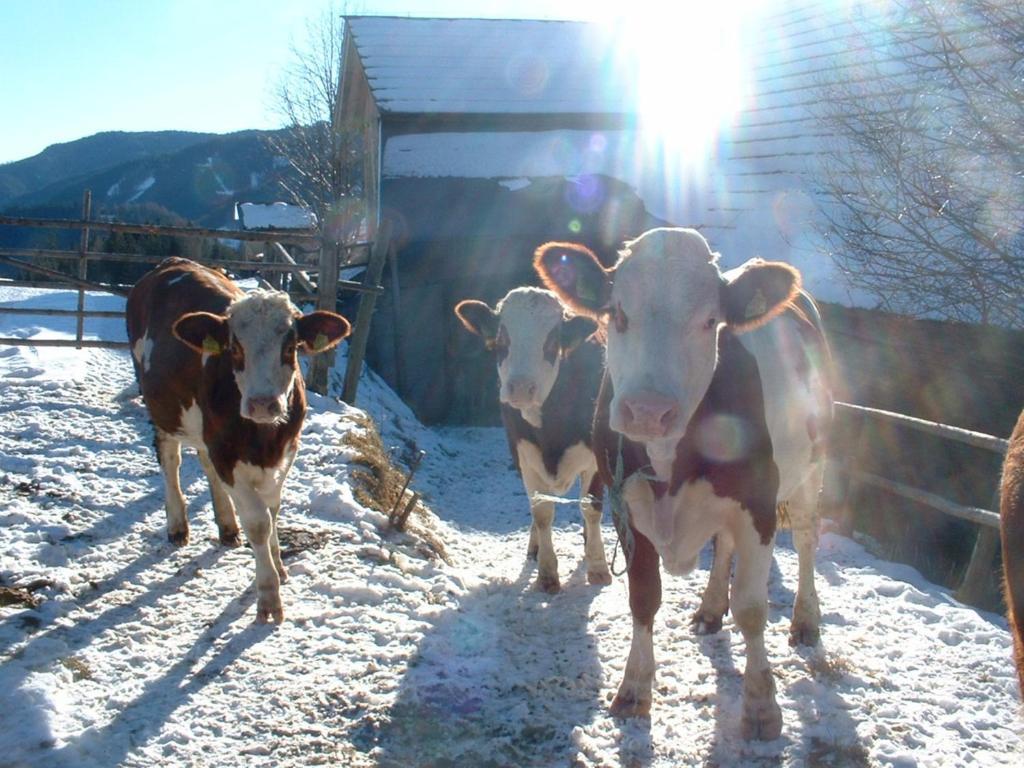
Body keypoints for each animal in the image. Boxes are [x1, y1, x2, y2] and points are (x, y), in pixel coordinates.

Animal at [125, 259, 350, 626]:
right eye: (235, 348)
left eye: (291, 348)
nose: (263, 404)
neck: (264, 436)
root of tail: (174, 262)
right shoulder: (227, 452)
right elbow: (259, 522)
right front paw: (269, 596)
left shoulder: (287, 450)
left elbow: (273, 509)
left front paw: (279, 565)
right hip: (159, 406)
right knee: (170, 458)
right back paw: (177, 525)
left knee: (204, 462)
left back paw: (227, 525)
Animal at [454, 288, 606, 593]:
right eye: (502, 339)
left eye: (553, 341)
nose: (522, 388)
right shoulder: (524, 455)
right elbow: (542, 512)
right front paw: (547, 573)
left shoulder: (595, 457)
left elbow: (591, 508)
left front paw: (598, 567)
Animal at [536, 227, 831, 741]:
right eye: (617, 312)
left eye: (711, 321)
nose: (648, 411)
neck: (669, 458)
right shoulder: (626, 506)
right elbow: (643, 598)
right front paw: (634, 689)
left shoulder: (757, 505)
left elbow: (751, 608)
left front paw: (761, 708)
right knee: (724, 548)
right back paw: (710, 609)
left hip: (811, 468)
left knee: (807, 539)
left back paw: (805, 620)